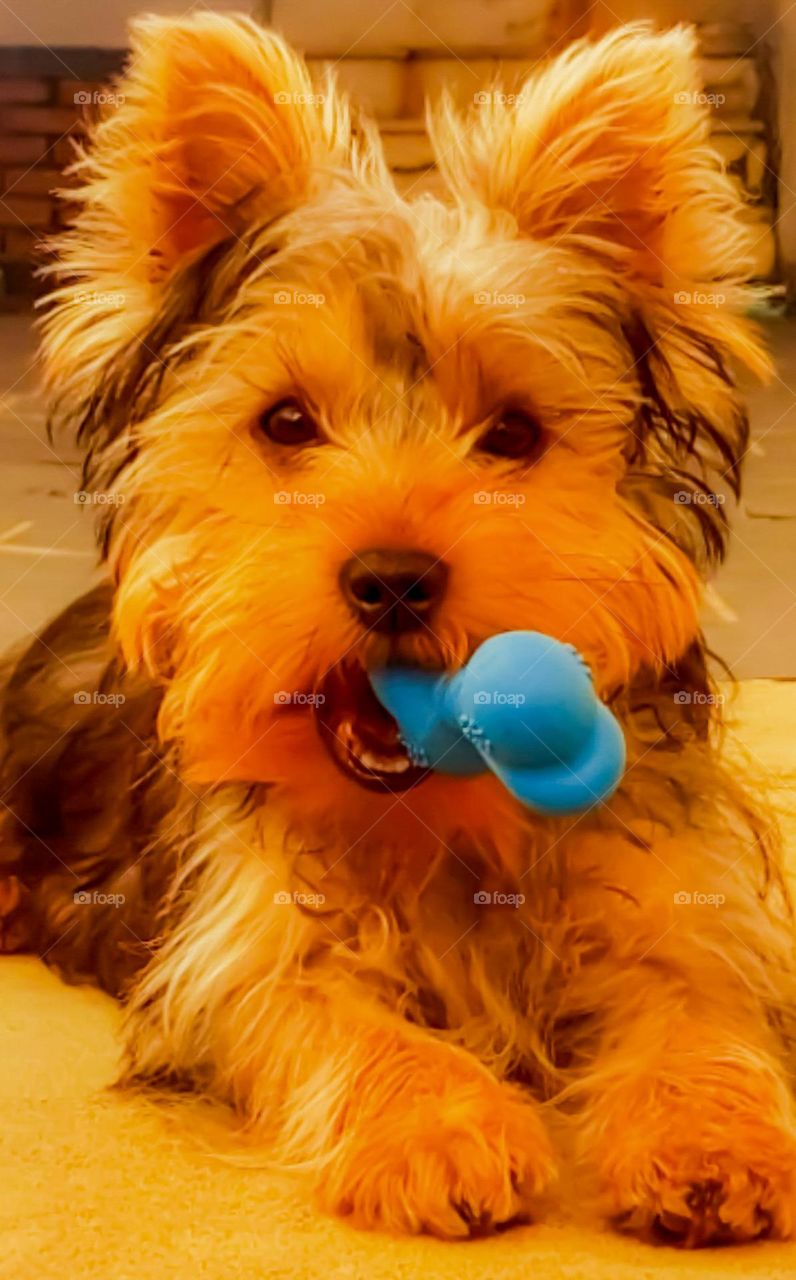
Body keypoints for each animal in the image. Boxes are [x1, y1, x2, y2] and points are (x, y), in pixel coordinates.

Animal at [1, 15, 796, 1244]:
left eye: (512, 434)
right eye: (286, 422)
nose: (390, 581)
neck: (438, 815)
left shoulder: (682, 894)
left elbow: (696, 994)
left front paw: (711, 1133)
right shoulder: (244, 945)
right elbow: (326, 1009)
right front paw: (436, 1123)